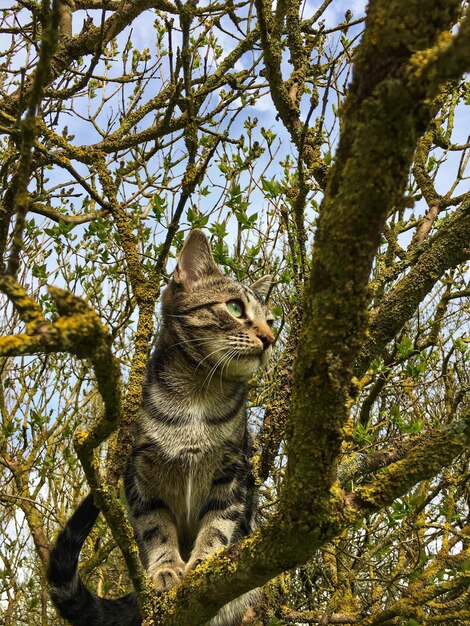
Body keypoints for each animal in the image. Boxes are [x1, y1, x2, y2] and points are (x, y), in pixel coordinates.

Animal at [47, 229, 274, 624]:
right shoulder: (141, 475)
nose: (269, 338)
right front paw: (166, 568)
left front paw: (204, 561)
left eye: (271, 321)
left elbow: (218, 524)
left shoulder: (232, 470)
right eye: (234, 308)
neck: (198, 395)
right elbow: (157, 528)